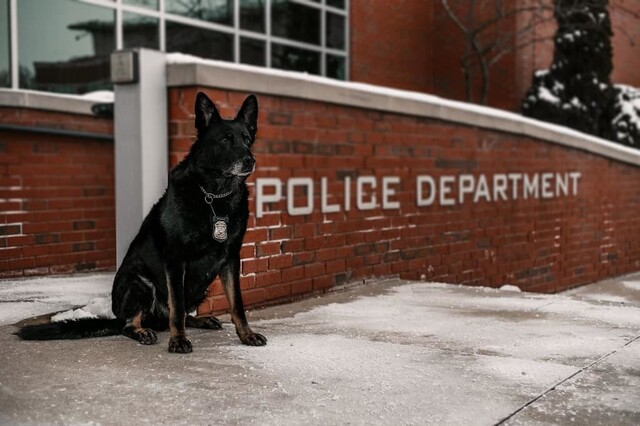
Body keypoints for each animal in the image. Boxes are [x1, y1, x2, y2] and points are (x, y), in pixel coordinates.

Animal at [15, 92, 264, 352]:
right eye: (225, 140)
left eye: (247, 140)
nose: (250, 160)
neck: (214, 196)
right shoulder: (175, 260)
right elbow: (177, 307)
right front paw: (178, 340)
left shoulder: (230, 258)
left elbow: (237, 304)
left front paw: (246, 335)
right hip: (140, 282)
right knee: (131, 324)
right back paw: (143, 331)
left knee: (180, 314)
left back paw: (201, 319)